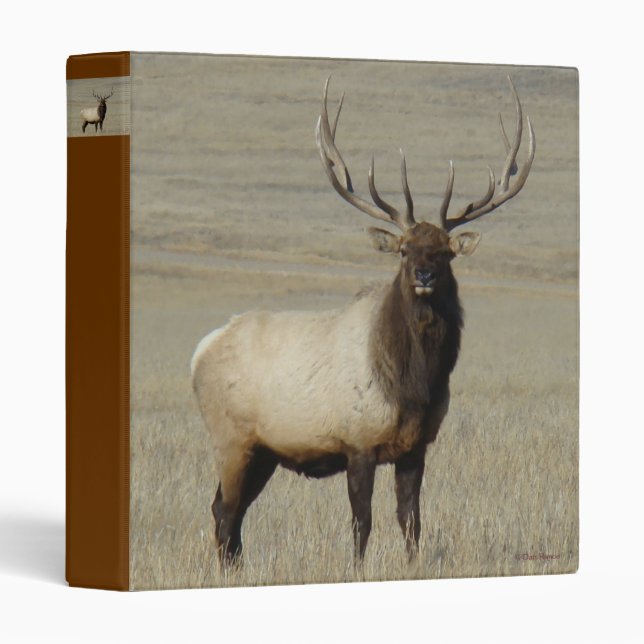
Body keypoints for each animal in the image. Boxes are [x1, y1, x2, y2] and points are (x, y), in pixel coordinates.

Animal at [191, 76, 535, 567]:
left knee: (231, 512)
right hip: (230, 437)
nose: (425, 275)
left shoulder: (416, 447)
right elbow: (362, 524)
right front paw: (356, 568)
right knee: (223, 510)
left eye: (445, 251)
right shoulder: (357, 441)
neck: (413, 386)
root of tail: (200, 352)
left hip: (263, 451)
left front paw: (412, 566)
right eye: (405, 249)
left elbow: (411, 521)